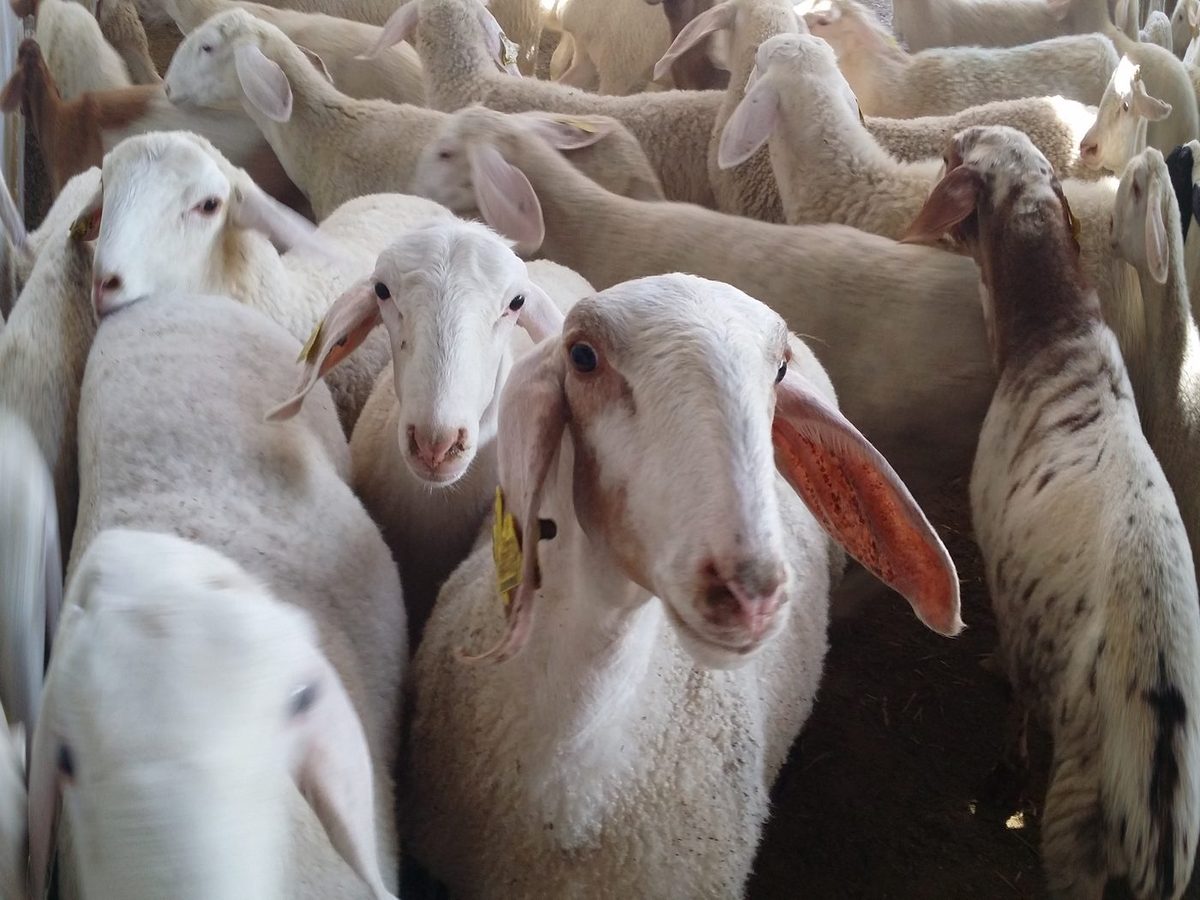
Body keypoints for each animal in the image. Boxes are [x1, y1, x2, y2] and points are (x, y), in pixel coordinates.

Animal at [904, 123, 1200, 900]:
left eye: (951, 156)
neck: (1055, 333)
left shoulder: (1002, 573)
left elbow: (1014, 694)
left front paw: (1002, 768)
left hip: (1076, 830)